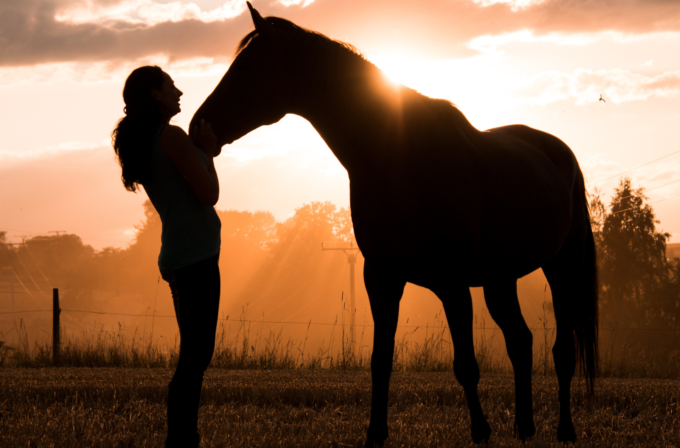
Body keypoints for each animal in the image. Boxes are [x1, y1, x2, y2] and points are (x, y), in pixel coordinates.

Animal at [190, 3, 596, 444]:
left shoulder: (452, 284)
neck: (400, 158)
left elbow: (465, 364)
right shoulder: (381, 277)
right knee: (521, 342)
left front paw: (480, 431)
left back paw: (565, 429)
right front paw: (375, 434)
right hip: (499, 280)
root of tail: (559, 152)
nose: (198, 127)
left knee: (561, 352)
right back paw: (524, 427)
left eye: (247, 67)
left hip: (561, 269)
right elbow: (380, 360)